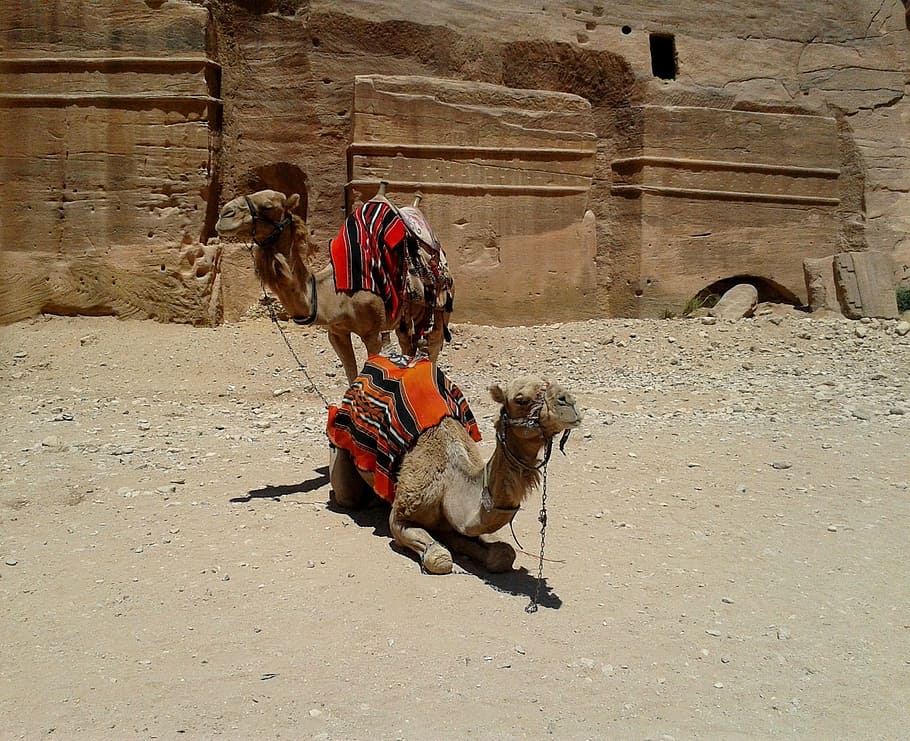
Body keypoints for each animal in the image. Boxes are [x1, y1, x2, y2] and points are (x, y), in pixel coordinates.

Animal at [214, 188, 450, 384]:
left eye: (268, 206)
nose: (224, 215)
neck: (333, 293)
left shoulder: (372, 332)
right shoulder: (336, 332)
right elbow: (351, 375)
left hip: (438, 310)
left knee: (433, 349)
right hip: (404, 319)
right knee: (408, 345)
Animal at [328, 358, 582, 574]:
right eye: (521, 399)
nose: (568, 401)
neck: (451, 482)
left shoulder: (458, 522)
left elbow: (503, 554)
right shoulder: (400, 516)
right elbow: (439, 558)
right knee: (347, 493)